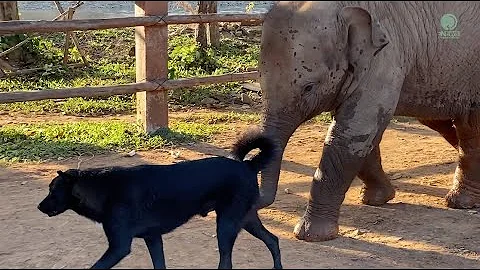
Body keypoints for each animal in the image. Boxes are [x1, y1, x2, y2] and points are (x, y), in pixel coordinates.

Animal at [39, 127, 284, 268]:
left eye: (52, 190)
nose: (39, 207)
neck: (103, 189)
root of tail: (248, 165)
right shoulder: (153, 238)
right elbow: (160, 264)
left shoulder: (119, 247)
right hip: (246, 218)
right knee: (273, 240)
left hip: (226, 225)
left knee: (227, 262)